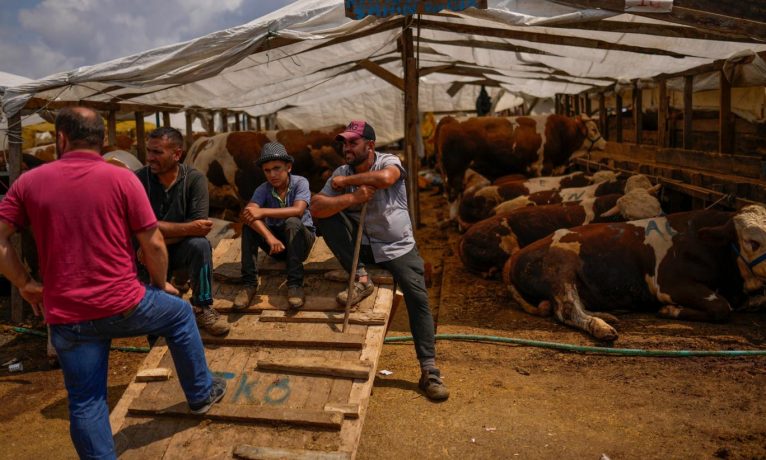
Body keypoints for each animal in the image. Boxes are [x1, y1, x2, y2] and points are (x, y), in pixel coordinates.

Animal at [438, 114, 608, 217]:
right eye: (594, 129)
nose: (605, 143)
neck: (559, 132)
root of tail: (450, 119)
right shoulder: (544, 166)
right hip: (455, 170)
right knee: (453, 195)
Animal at [504, 206, 766, 342]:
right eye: (752, 242)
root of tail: (516, 256)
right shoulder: (669, 284)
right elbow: (722, 307)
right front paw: (669, 310)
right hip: (560, 268)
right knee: (567, 310)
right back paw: (601, 327)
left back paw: (607, 315)